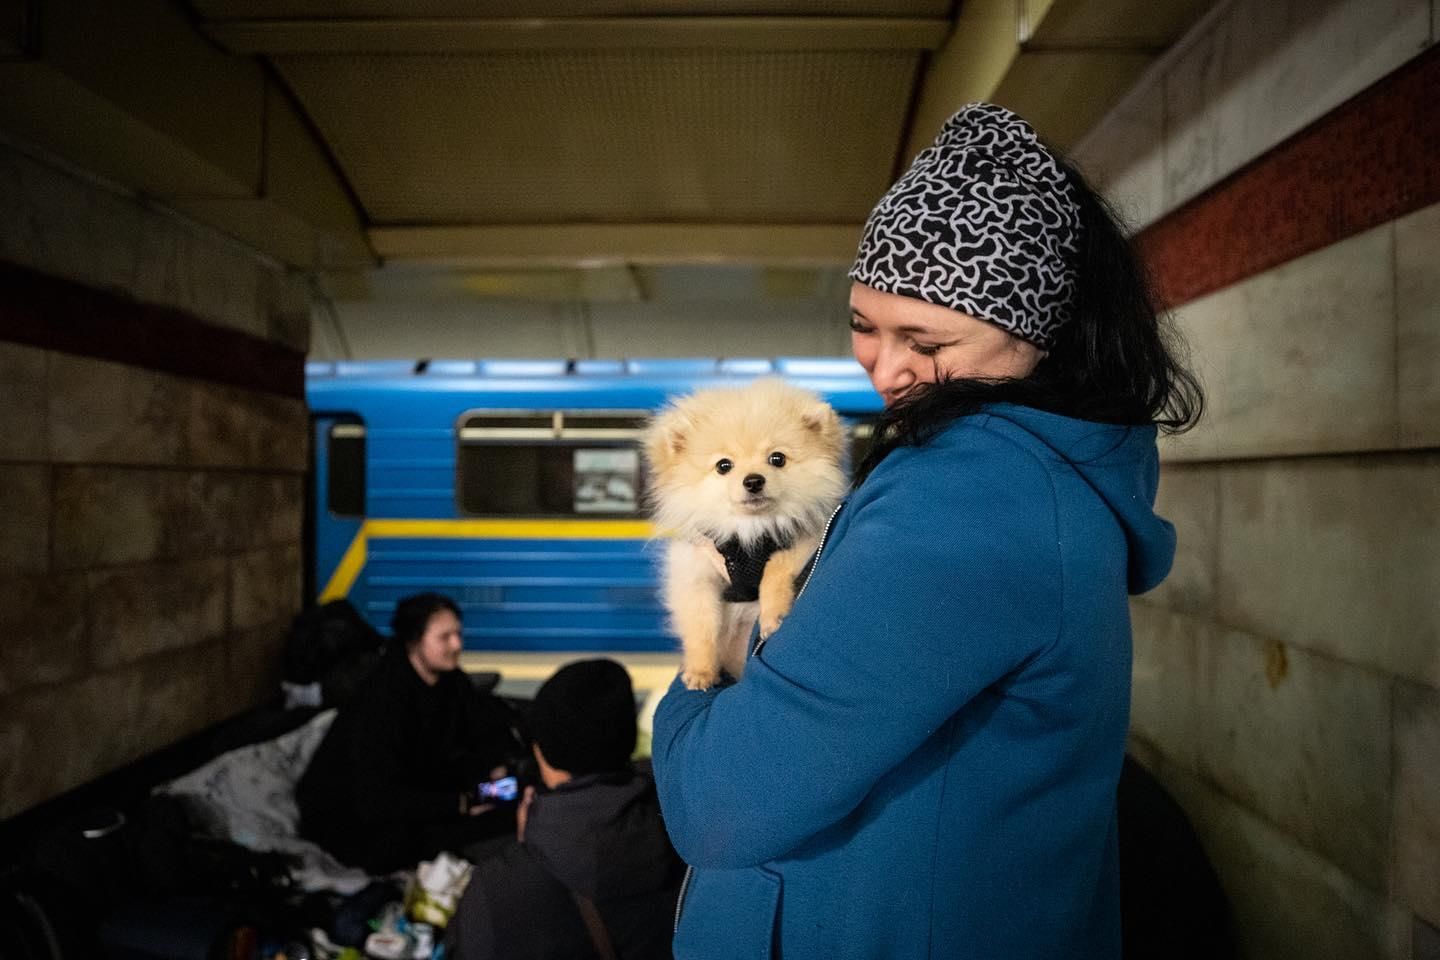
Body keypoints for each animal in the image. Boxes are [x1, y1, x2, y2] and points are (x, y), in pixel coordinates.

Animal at [639, 377, 840, 690]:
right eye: (724, 466)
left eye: (777, 458)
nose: (754, 480)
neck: (749, 531)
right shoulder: (695, 573)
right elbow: (700, 626)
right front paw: (700, 671)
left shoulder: (806, 540)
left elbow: (775, 569)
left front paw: (772, 616)